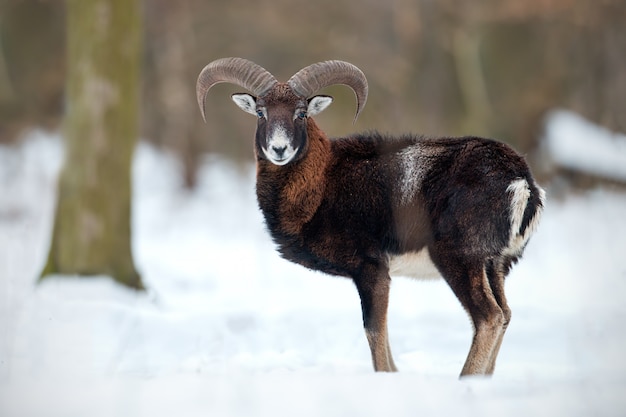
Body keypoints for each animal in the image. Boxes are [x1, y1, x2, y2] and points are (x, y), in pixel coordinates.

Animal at [194, 57, 540, 376]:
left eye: (301, 113)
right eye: (261, 112)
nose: (279, 150)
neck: (322, 183)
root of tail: (520, 182)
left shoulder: (371, 270)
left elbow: (375, 333)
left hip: (459, 261)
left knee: (489, 317)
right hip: (494, 267)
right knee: (505, 315)